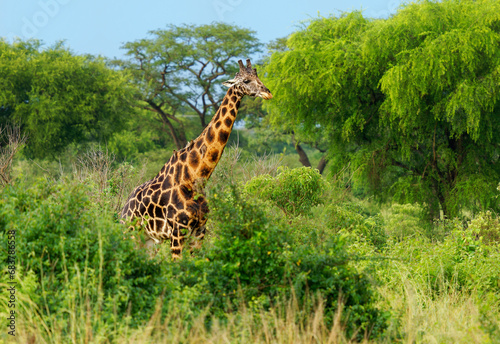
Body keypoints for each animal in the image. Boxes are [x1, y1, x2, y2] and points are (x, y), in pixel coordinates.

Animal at [120, 59, 274, 258]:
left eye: (258, 76)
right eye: (246, 81)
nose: (268, 92)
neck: (196, 177)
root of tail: (124, 208)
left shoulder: (200, 231)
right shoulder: (178, 231)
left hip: (150, 241)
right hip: (130, 233)